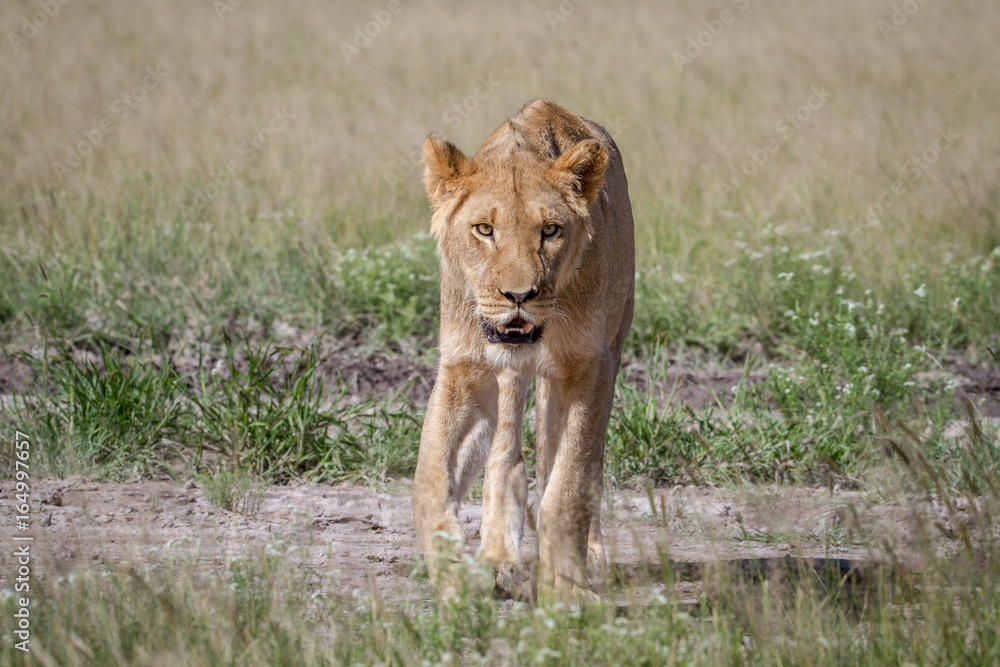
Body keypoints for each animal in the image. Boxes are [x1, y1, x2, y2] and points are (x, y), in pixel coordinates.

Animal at [411, 99, 635, 600]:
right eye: (484, 229)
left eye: (550, 230)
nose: (519, 296)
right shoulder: (462, 367)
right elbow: (429, 478)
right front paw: (452, 573)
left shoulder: (591, 366)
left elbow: (569, 484)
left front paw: (567, 590)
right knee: (505, 458)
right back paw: (499, 559)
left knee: (571, 462)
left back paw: (589, 556)